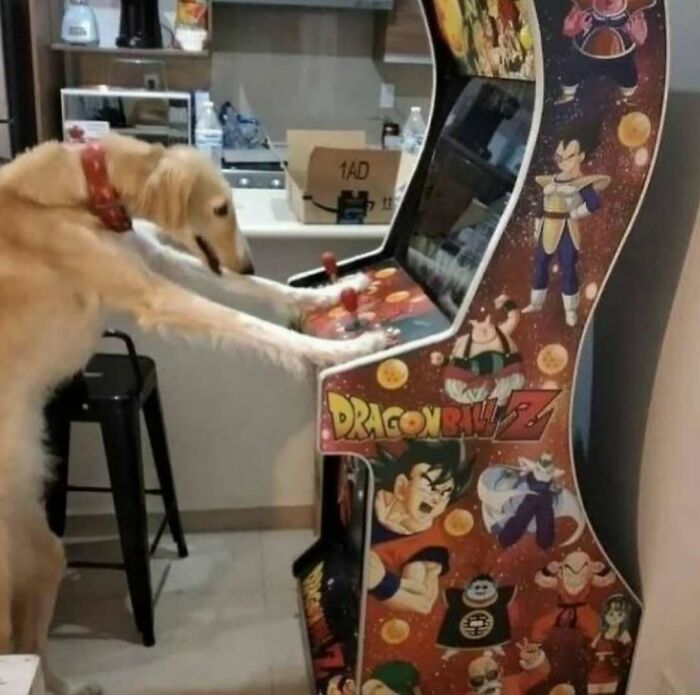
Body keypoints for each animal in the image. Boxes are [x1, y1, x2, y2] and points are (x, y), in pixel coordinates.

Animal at [0, 134, 387, 694]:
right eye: (222, 208)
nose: (247, 264)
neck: (80, 190)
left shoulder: (158, 257)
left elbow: (258, 292)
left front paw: (329, 293)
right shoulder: (157, 293)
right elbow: (250, 323)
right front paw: (341, 350)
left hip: (41, 550)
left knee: (31, 644)